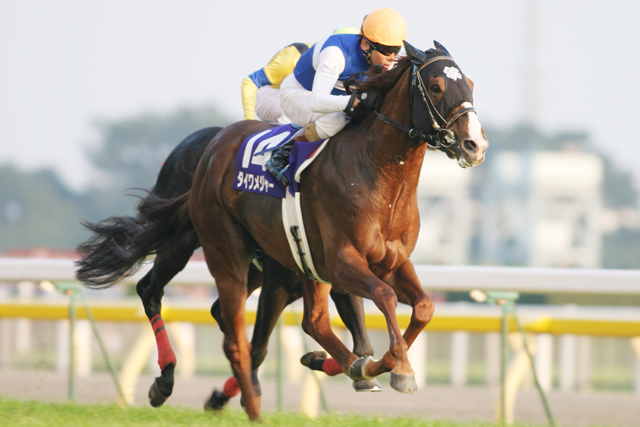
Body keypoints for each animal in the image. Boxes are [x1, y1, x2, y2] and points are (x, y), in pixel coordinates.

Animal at [75, 126, 376, 411]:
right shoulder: (277, 284)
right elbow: (260, 348)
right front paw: (229, 396)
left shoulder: (336, 276)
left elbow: (362, 344)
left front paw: (322, 360)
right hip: (184, 241)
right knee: (149, 290)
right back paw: (166, 380)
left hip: (242, 266)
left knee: (220, 312)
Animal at [184, 41, 488, 420]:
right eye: (436, 86)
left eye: (471, 84)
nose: (475, 145)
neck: (380, 174)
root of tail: (216, 145)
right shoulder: (343, 260)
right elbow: (386, 298)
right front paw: (400, 369)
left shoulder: (391, 263)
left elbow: (424, 308)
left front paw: (379, 364)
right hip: (228, 254)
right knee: (240, 341)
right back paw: (253, 410)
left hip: (304, 263)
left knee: (313, 321)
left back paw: (346, 365)